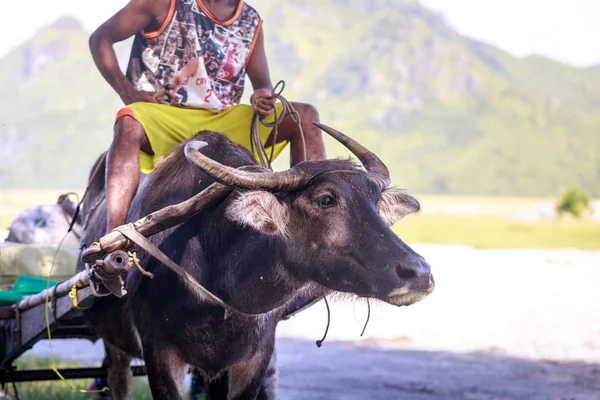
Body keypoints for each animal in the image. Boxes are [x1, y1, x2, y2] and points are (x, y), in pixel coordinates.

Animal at [77, 123, 434, 398]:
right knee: (119, 381)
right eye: (326, 199)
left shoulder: (253, 358)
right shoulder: (158, 353)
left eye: (375, 202)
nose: (419, 272)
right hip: (115, 344)